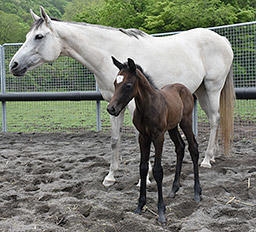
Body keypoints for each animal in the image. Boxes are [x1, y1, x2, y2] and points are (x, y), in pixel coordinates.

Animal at [9, 6, 234, 187]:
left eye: (39, 36)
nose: (14, 65)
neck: (110, 55)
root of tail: (223, 39)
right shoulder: (114, 105)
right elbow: (115, 139)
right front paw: (110, 176)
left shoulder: (135, 106)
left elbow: (139, 138)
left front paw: (146, 179)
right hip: (200, 92)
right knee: (214, 119)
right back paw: (212, 156)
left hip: (212, 88)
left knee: (215, 119)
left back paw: (206, 160)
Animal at [107, 56, 201, 223]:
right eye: (115, 83)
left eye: (128, 85)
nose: (111, 109)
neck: (147, 106)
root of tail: (184, 88)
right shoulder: (143, 137)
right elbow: (143, 168)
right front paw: (139, 206)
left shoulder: (158, 136)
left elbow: (158, 170)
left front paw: (161, 211)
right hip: (172, 127)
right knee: (180, 147)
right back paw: (174, 189)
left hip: (185, 122)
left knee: (193, 148)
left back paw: (197, 192)